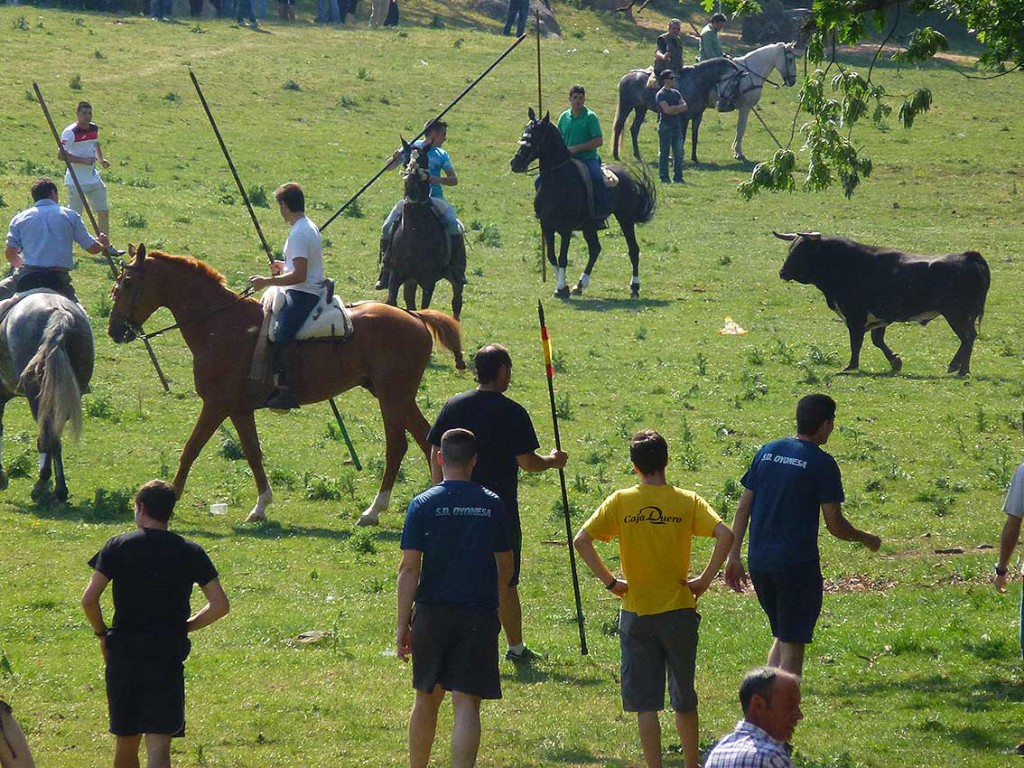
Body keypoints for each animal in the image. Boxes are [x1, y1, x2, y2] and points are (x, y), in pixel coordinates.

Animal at [105, 246, 462, 528]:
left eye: (128, 283)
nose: (114, 330)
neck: (220, 324)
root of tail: (414, 315)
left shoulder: (216, 405)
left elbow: (191, 448)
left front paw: (171, 497)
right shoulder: (238, 409)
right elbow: (252, 452)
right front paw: (261, 506)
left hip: (391, 397)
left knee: (398, 447)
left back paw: (373, 511)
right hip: (399, 397)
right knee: (425, 439)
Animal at [509, 108, 655, 301]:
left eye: (534, 137)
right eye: (524, 133)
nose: (515, 163)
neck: (558, 183)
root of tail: (627, 177)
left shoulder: (565, 229)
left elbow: (562, 257)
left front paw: (561, 288)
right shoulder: (546, 226)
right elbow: (551, 256)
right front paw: (563, 286)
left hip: (625, 219)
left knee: (633, 249)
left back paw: (635, 287)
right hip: (589, 226)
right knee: (595, 249)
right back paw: (580, 285)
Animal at [610, 59, 741, 163]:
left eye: (737, 86)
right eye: (733, 84)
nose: (726, 107)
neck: (698, 82)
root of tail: (627, 76)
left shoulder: (697, 117)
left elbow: (695, 137)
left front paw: (694, 158)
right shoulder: (684, 117)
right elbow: (682, 138)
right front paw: (679, 158)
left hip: (641, 109)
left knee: (634, 129)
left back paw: (637, 155)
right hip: (626, 107)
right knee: (618, 127)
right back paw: (616, 155)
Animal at [774, 234, 991, 378]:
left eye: (801, 252)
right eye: (790, 248)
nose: (782, 272)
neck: (845, 264)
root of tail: (969, 255)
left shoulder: (855, 317)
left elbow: (856, 342)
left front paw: (851, 366)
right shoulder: (880, 318)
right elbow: (877, 341)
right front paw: (895, 362)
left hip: (956, 315)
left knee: (967, 337)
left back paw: (961, 370)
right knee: (968, 338)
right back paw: (957, 367)